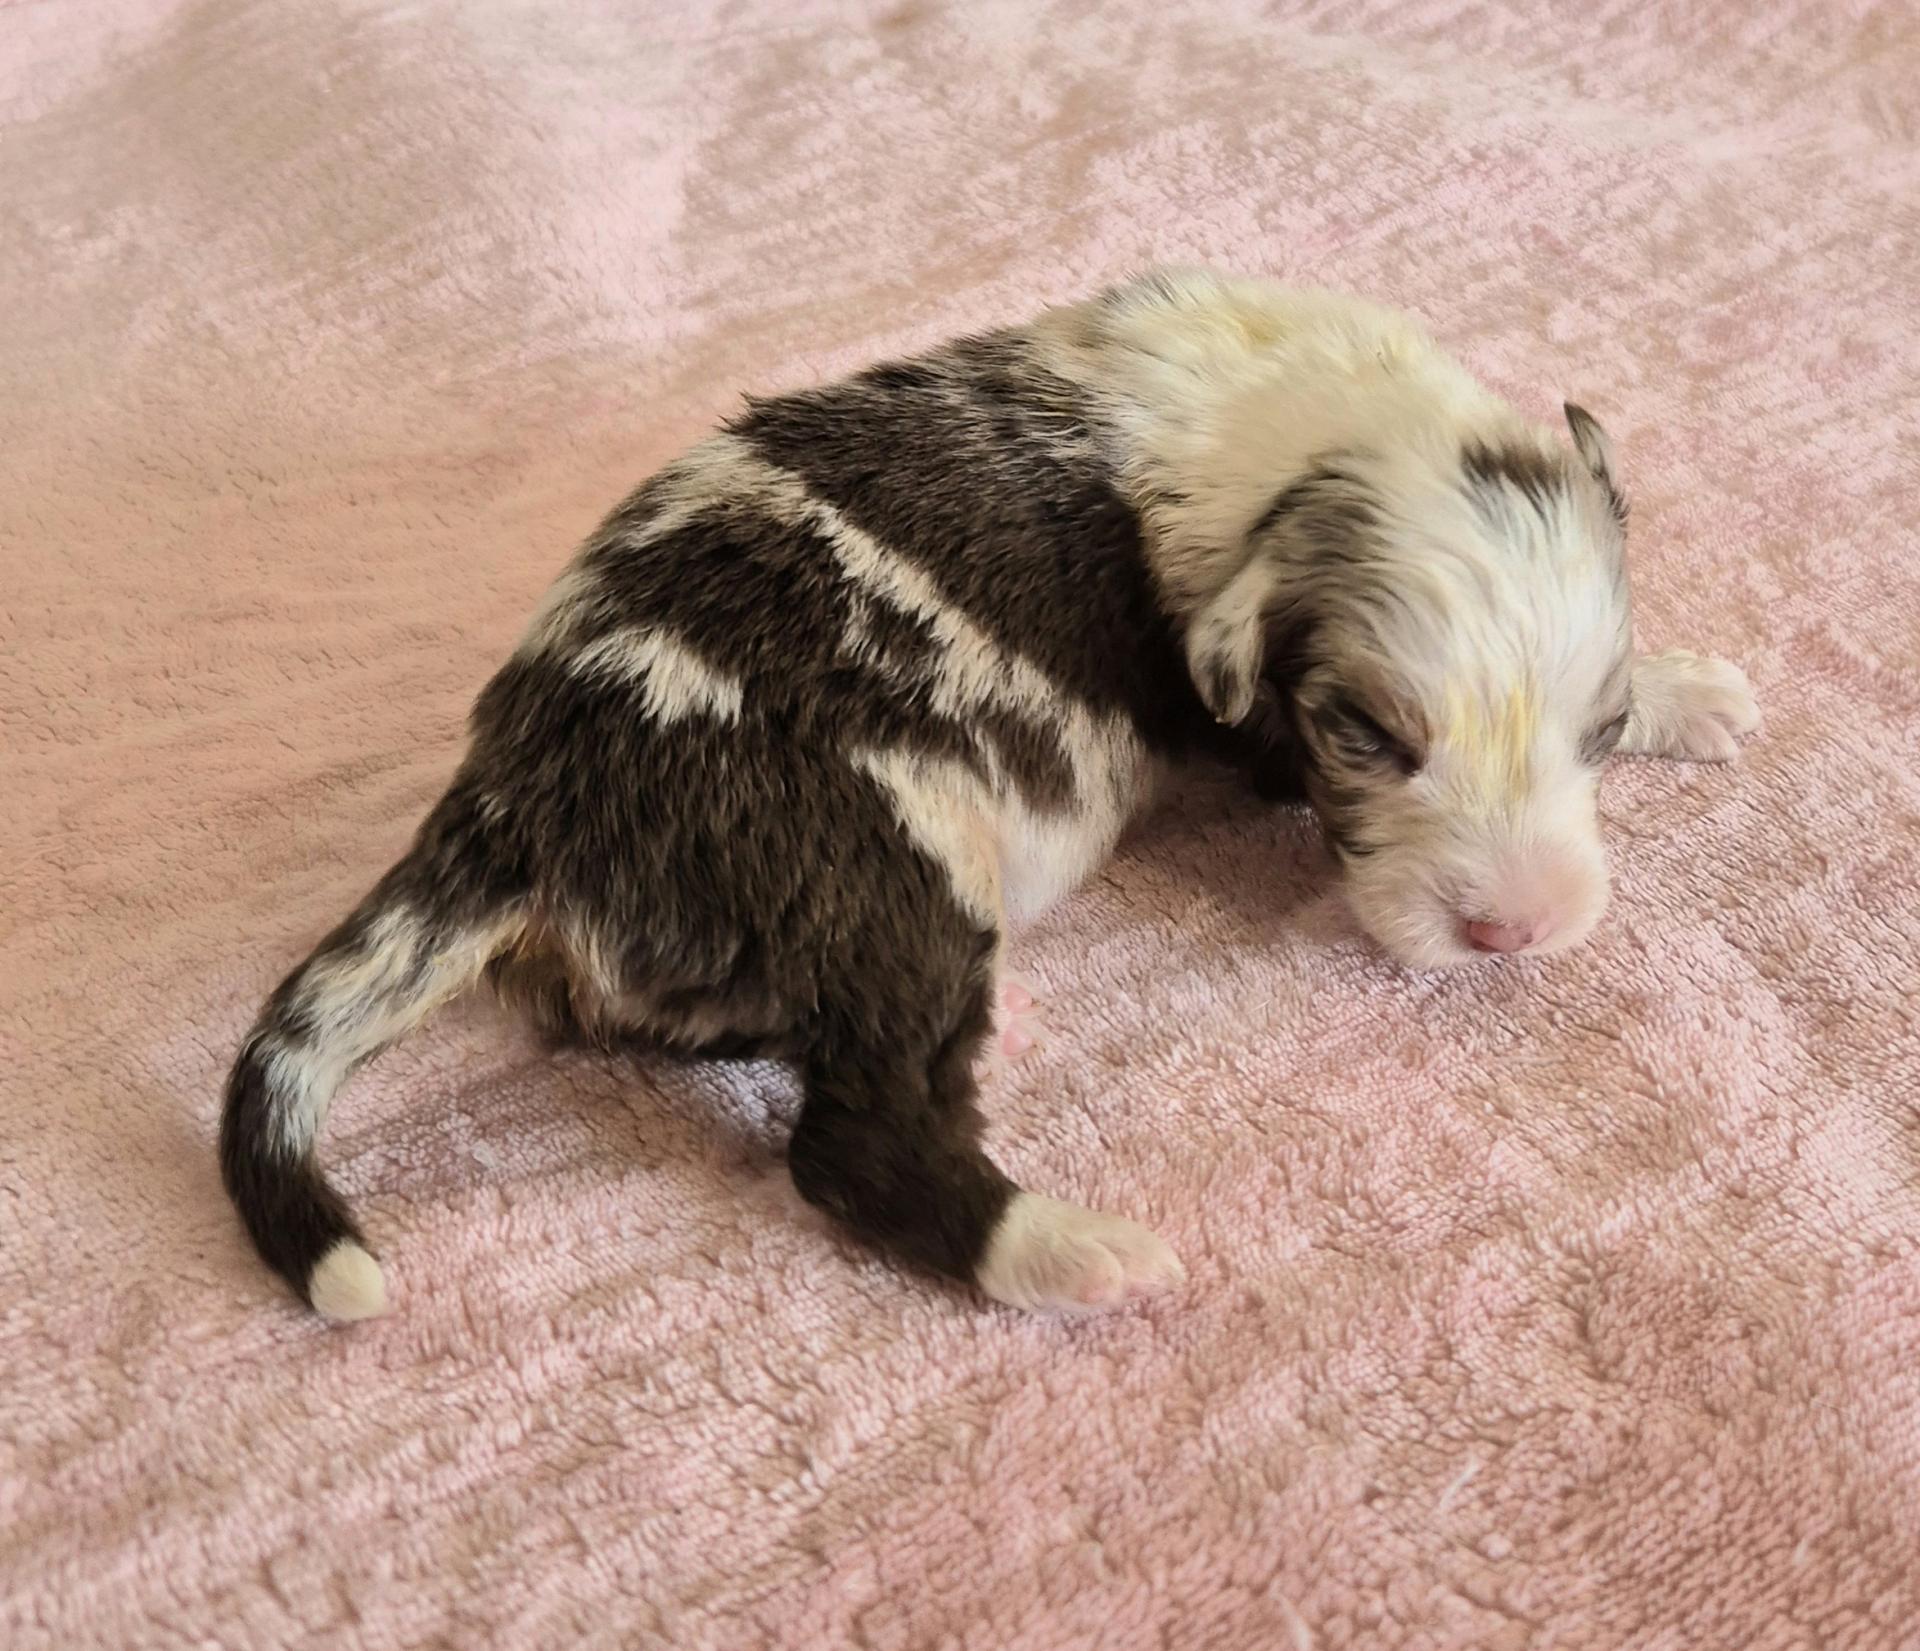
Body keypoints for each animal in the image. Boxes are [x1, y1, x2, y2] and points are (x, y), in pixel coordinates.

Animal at [220, 269, 1758, 1321]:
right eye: (1367, 735)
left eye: (1596, 730)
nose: (1516, 932)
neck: (1318, 434)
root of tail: (519, 801)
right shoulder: (1242, 715)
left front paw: (1694, 688)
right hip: (887, 856)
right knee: (854, 1134)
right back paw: (1076, 1251)